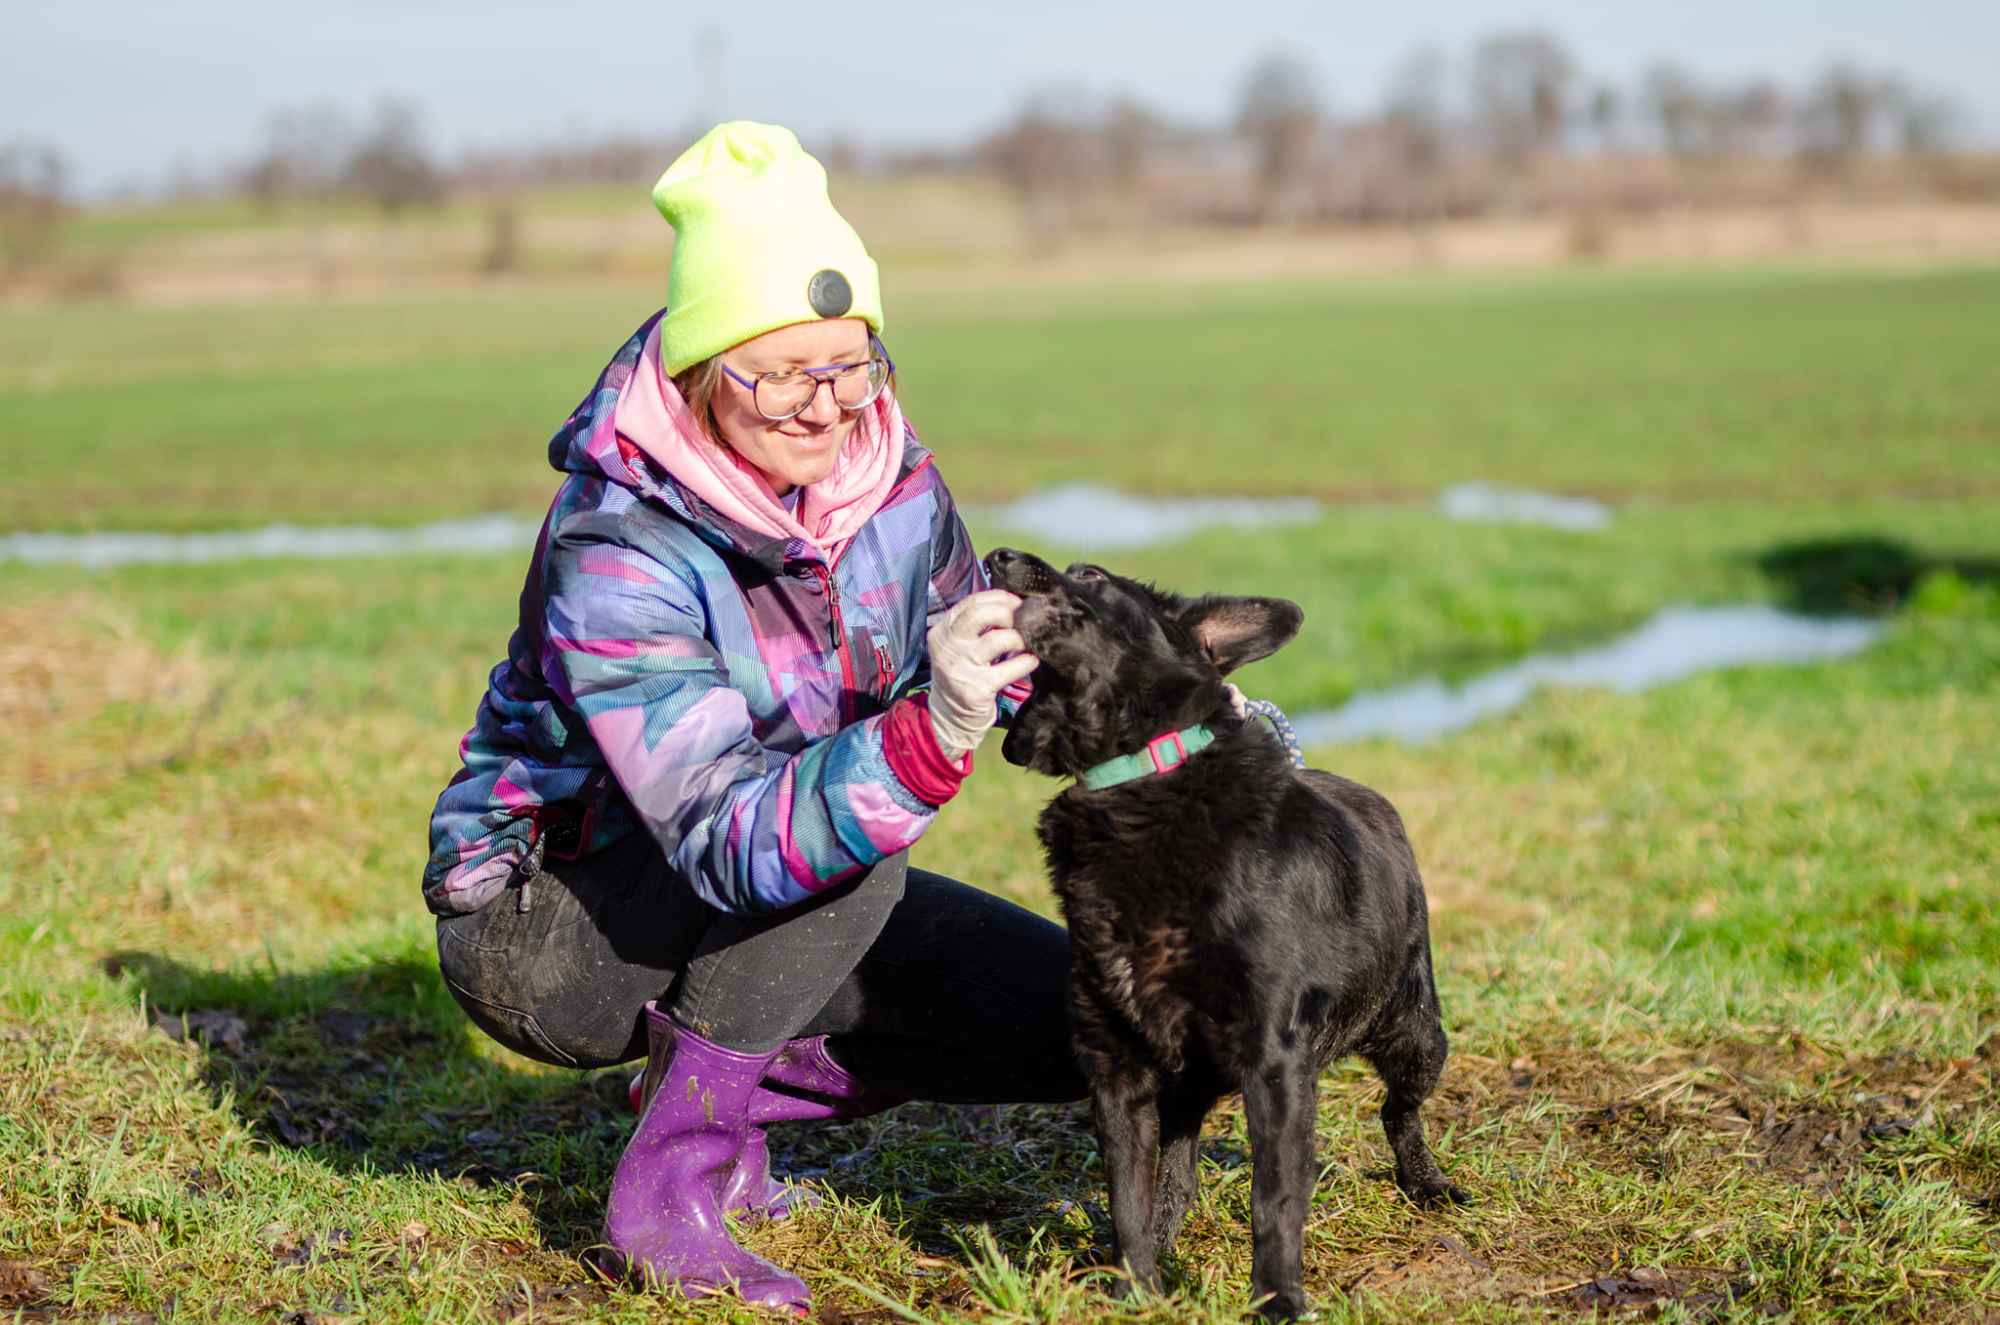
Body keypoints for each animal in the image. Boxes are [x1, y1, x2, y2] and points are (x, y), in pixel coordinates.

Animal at [988, 548, 1472, 1320]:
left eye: (1089, 574)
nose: (998, 555)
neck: (1140, 778)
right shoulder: (1116, 1066)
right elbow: (1128, 1198)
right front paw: (1137, 1289)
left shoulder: (1275, 1063)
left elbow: (1273, 1199)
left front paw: (1278, 1301)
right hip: (1188, 1080)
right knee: (1177, 1176)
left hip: (1415, 1033)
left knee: (1399, 1110)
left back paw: (1426, 1183)